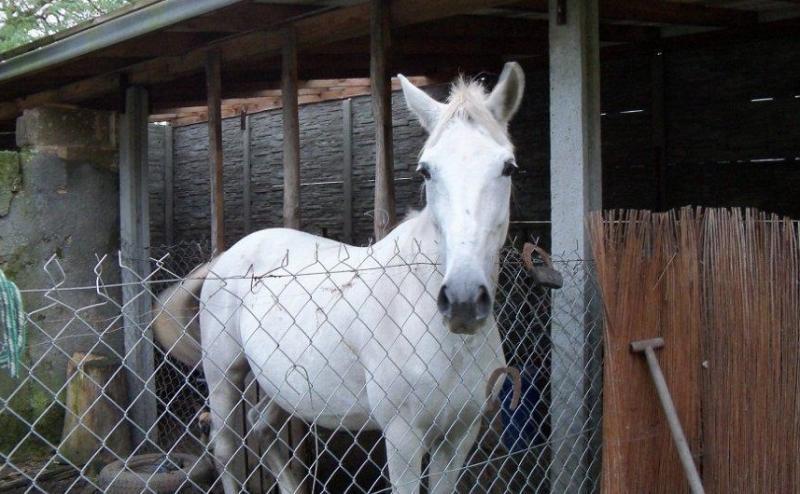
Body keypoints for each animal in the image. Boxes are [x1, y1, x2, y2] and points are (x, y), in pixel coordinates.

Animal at [156, 62, 524, 494]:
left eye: (508, 167)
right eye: (426, 170)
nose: (463, 301)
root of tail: (226, 258)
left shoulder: (460, 436)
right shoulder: (403, 437)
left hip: (281, 386)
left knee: (263, 429)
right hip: (223, 377)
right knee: (228, 450)